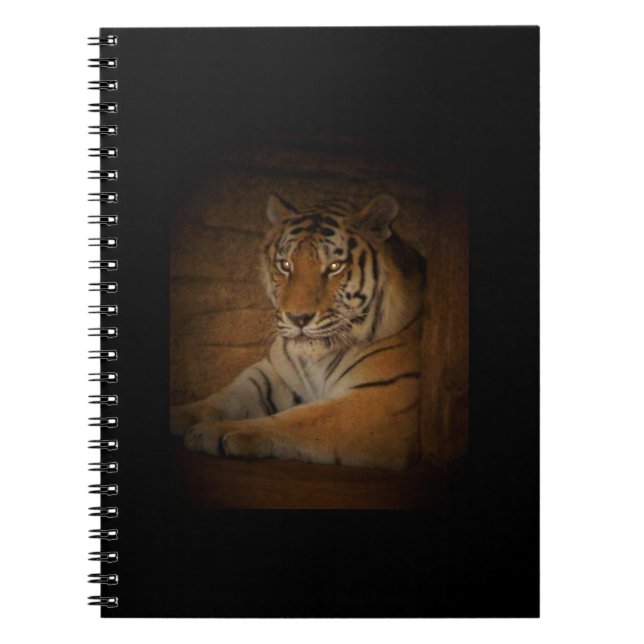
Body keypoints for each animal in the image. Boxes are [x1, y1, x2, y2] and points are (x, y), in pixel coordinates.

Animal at [170, 192, 426, 470]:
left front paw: (218, 431)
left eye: (334, 266)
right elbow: (226, 397)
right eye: (285, 265)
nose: (298, 318)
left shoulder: (379, 399)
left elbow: (298, 419)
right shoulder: (274, 374)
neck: (318, 357)